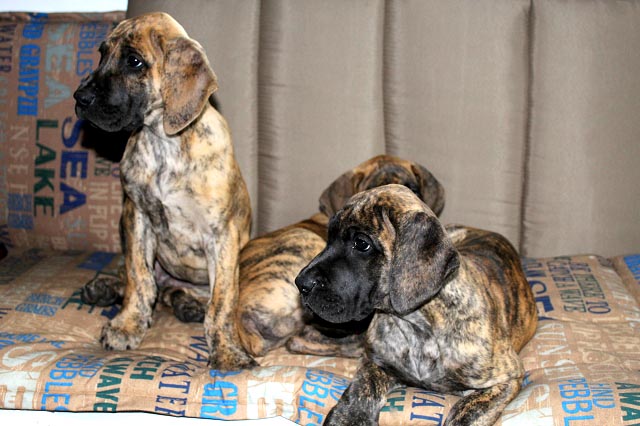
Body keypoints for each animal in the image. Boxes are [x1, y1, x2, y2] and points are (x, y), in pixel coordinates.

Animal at [73, 12, 254, 370]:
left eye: (134, 61)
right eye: (102, 54)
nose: (80, 98)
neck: (164, 143)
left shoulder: (222, 235)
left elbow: (223, 300)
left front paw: (226, 349)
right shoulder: (136, 217)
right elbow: (139, 278)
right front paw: (128, 325)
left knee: (188, 294)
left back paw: (188, 304)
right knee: (139, 279)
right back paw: (105, 288)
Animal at [295, 184, 538, 425]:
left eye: (361, 244)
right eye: (329, 237)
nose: (301, 283)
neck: (418, 327)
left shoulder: (506, 378)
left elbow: (469, 411)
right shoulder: (374, 361)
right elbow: (362, 387)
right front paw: (349, 417)